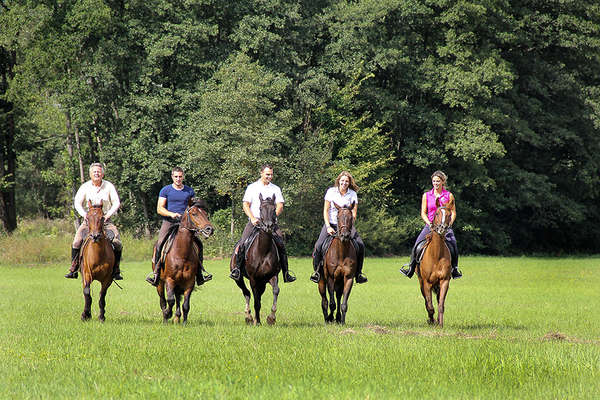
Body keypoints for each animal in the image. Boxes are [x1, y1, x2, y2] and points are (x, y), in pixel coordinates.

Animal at [232, 194, 284, 324]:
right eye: (260, 209)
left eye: (274, 209)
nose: (268, 226)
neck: (263, 250)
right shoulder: (253, 279)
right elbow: (256, 301)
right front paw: (258, 322)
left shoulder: (272, 276)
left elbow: (276, 291)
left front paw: (271, 318)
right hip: (239, 279)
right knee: (246, 293)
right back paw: (249, 317)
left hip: (263, 282)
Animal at [420, 198, 452, 326]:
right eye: (437, 213)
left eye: (449, 215)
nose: (442, 228)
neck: (436, 255)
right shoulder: (426, 283)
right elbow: (429, 305)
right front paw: (431, 320)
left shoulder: (444, 281)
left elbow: (441, 304)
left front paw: (440, 324)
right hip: (421, 283)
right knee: (426, 301)